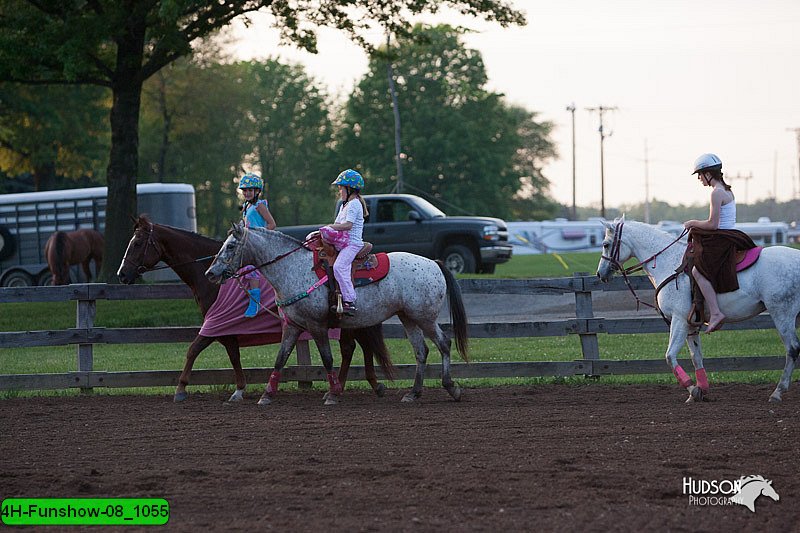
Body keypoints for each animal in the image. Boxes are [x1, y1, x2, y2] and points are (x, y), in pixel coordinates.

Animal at [116, 214, 394, 402]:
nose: (121, 274)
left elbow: (196, 350)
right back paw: (360, 385)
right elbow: (230, 355)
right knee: (355, 347)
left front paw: (183, 388)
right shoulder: (225, 328)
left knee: (355, 347)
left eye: (137, 243)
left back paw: (357, 385)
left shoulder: (218, 325)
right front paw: (240, 389)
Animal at [592, 214, 800, 402]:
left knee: (792, 349)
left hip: (782, 313)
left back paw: (777, 392)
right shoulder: (691, 324)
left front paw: (692, 389)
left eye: (606, 244)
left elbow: (670, 356)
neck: (669, 263)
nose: (600, 274)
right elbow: (696, 357)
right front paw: (700, 391)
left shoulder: (679, 320)